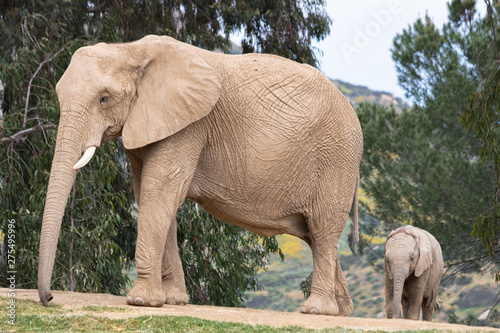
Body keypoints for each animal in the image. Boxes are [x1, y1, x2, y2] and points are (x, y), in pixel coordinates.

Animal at [37, 35, 362, 316]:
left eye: (104, 99)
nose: (50, 298)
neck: (131, 50)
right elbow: (152, 197)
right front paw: (172, 301)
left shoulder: (189, 126)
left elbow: (160, 192)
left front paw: (141, 302)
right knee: (315, 235)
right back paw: (341, 311)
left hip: (336, 160)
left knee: (322, 230)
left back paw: (316, 310)